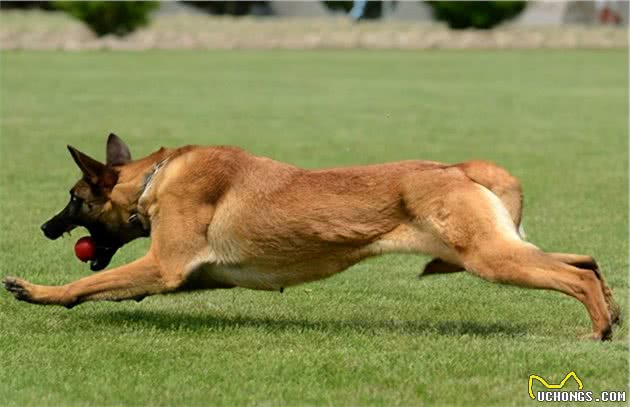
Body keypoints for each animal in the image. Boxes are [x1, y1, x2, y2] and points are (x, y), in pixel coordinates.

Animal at [3, 134, 624, 342]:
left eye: (74, 199)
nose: (45, 227)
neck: (156, 177)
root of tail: (455, 167)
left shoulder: (163, 266)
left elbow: (90, 284)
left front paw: (38, 291)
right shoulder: (182, 276)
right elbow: (110, 284)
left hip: (490, 258)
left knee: (573, 275)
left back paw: (597, 330)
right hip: (495, 249)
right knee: (585, 260)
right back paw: (613, 312)